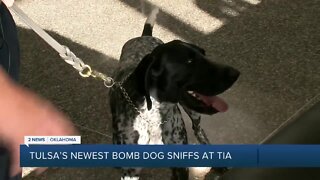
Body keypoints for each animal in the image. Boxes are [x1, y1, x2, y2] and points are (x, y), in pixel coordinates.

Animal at [109, 8, 239, 180]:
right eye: (189, 61)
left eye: (204, 54)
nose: (236, 73)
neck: (154, 117)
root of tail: (145, 36)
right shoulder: (131, 172)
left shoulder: (180, 164)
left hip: (194, 113)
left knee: (198, 130)